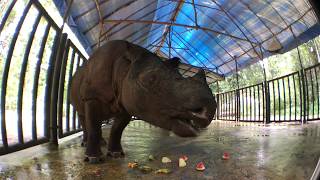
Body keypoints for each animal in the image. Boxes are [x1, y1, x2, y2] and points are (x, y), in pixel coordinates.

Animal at [70, 40, 218, 162]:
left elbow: (118, 129)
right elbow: (94, 127)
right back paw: (87, 144)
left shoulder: (126, 101)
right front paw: (93, 159)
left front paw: (116, 154)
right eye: (150, 79)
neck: (124, 67)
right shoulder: (92, 96)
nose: (209, 109)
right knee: (83, 116)